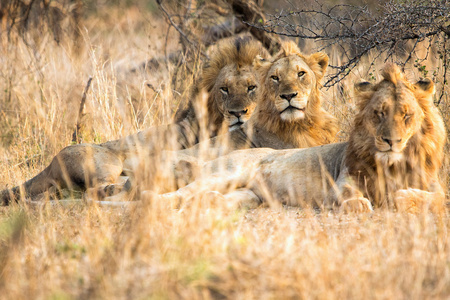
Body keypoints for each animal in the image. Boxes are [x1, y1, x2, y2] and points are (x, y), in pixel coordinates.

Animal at [0, 36, 268, 205]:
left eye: (251, 87)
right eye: (224, 89)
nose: (238, 113)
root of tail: (52, 161)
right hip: (106, 163)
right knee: (93, 190)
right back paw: (118, 188)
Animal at [152, 63, 446, 213]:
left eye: (406, 115)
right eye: (379, 113)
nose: (391, 141)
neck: (394, 163)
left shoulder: (434, 185)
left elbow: (438, 199)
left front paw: (401, 196)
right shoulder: (342, 181)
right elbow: (351, 195)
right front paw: (360, 204)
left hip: (249, 195)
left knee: (210, 198)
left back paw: (208, 202)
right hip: (226, 173)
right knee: (180, 193)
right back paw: (152, 200)